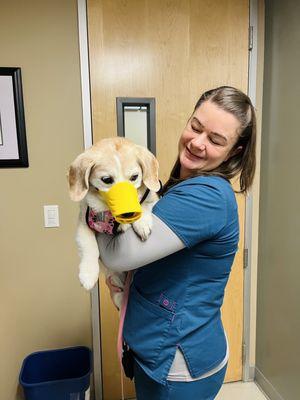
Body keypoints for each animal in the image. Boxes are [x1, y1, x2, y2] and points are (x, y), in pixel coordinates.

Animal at [67, 137, 159, 306]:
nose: (128, 214)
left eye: (134, 177)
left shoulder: (153, 198)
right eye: (107, 180)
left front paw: (141, 222)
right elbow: (89, 246)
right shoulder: (83, 223)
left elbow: (145, 204)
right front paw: (88, 274)